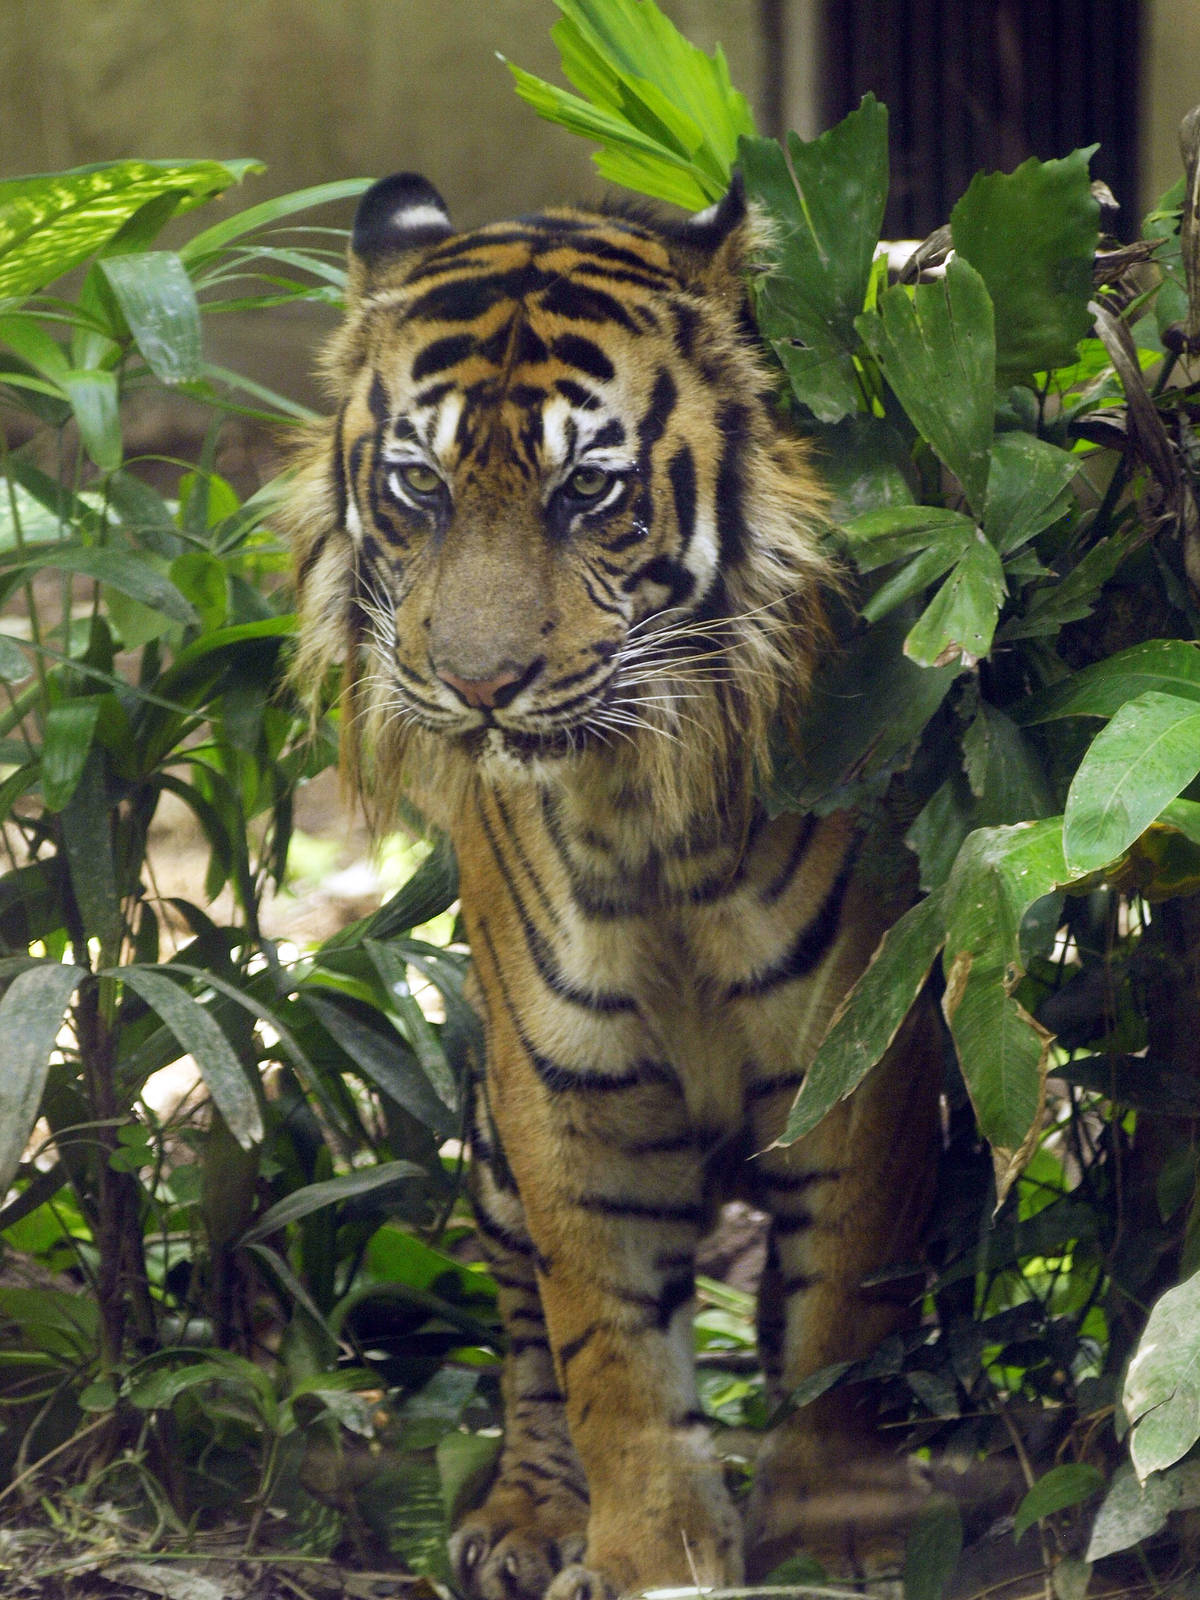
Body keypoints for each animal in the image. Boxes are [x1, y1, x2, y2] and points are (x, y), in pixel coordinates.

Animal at [283, 169, 941, 1600]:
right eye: (417, 485)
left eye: (587, 489)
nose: (478, 685)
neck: (643, 814)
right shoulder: (565, 1079)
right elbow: (608, 1348)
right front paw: (648, 1556)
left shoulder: (859, 1048)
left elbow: (840, 1302)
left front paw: (839, 1536)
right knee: (528, 1343)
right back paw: (528, 1520)